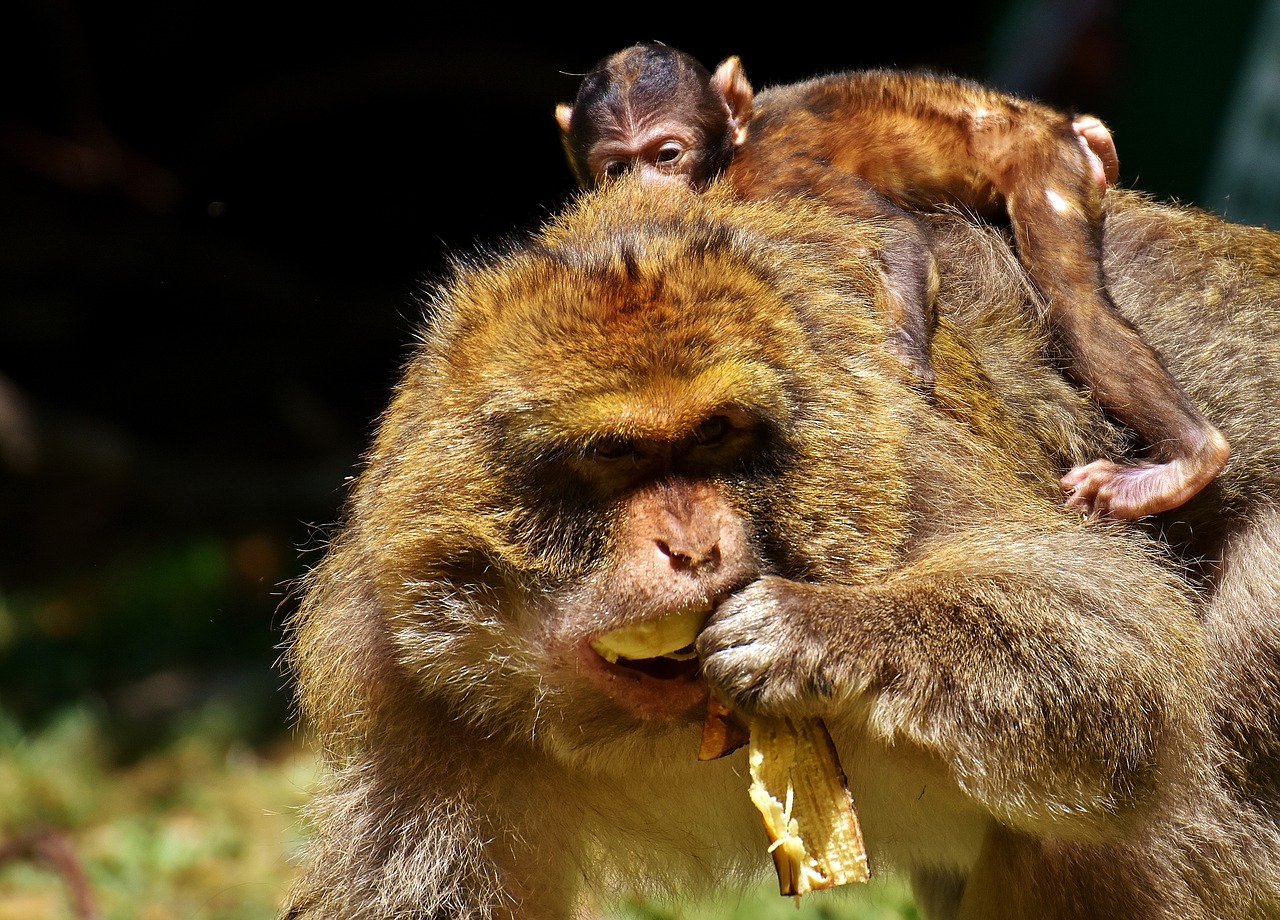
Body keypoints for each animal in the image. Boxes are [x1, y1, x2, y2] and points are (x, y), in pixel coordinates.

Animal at [280, 176, 1280, 916]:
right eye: (614, 454)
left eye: (716, 435)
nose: (690, 546)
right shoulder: (423, 710)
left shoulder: (903, 464)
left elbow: (1116, 647)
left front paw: (821, 632)